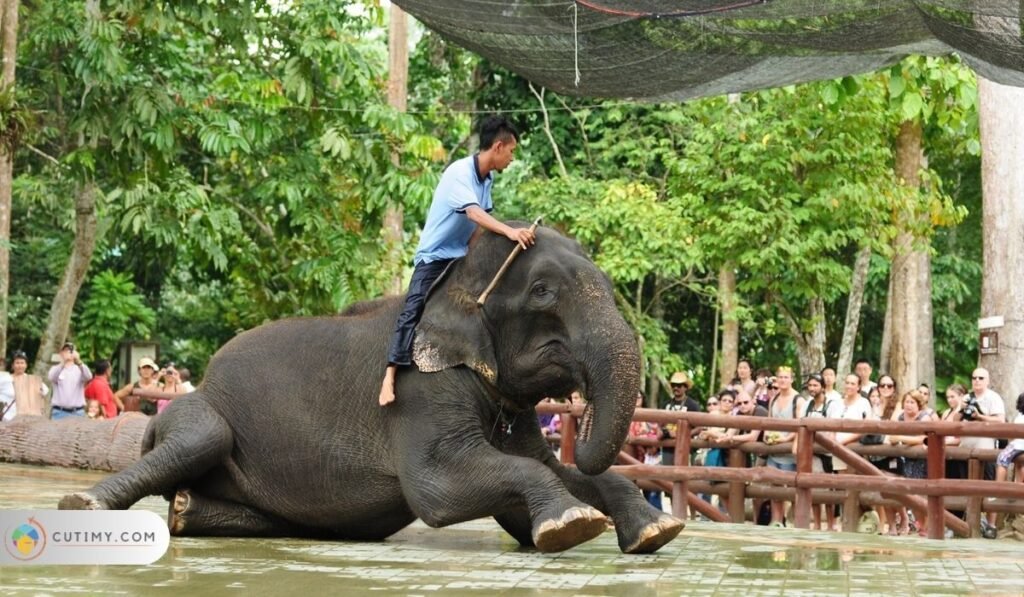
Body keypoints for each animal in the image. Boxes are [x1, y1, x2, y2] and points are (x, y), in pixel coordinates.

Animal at [58, 223, 684, 554]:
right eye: (543, 293)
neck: (452, 278)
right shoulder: (418, 389)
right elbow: (439, 491)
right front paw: (573, 525)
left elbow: (545, 471)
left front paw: (656, 531)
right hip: (193, 409)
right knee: (201, 437)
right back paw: (83, 505)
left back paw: (188, 510)